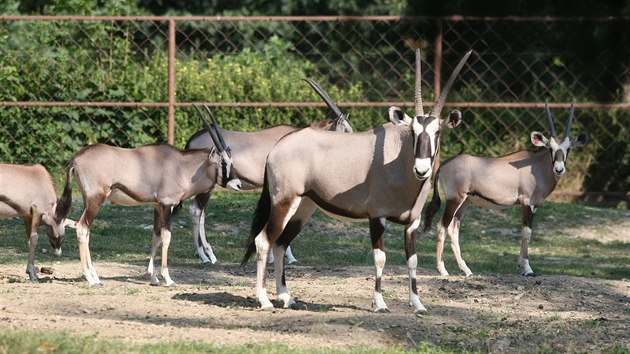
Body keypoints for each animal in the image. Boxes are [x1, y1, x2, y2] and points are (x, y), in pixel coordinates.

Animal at [61, 106, 241, 286]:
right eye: (223, 163)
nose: (238, 184)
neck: (182, 167)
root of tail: (75, 159)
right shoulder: (167, 205)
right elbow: (166, 237)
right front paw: (167, 278)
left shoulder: (157, 206)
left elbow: (156, 237)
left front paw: (153, 277)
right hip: (96, 200)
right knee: (82, 228)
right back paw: (91, 279)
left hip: (89, 201)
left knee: (85, 229)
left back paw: (96, 276)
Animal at [188, 78, 356, 266]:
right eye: (346, 130)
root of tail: (193, 140)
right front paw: (286, 257)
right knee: (196, 211)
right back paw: (205, 256)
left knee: (201, 213)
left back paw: (207, 254)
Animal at [242, 49, 474, 312]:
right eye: (413, 132)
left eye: (437, 132)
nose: (422, 169)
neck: (398, 161)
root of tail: (278, 147)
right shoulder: (377, 216)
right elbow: (380, 257)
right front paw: (380, 303)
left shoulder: (411, 223)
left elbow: (412, 260)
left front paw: (417, 304)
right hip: (284, 201)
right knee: (264, 241)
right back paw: (264, 300)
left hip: (303, 208)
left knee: (280, 243)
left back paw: (286, 297)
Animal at [422, 99, 592, 276]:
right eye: (550, 148)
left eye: (568, 149)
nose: (559, 169)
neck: (536, 165)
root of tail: (443, 165)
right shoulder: (526, 203)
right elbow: (527, 232)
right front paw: (527, 269)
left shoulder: (533, 207)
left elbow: (526, 231)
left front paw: (521, 266)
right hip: (454, 199)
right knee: (442, 226)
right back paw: (442, 270)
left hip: (465, 202)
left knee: (453, 229)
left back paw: (466, 270)